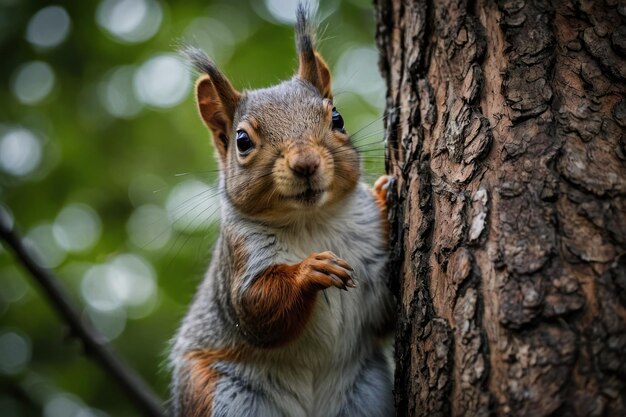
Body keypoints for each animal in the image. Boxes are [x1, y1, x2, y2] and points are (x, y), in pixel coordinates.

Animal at [169, 6, 394, 416]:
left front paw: (384, 196)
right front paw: (311, 269)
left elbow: (386, 311)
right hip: (217, 392)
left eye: (337, 118)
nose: (305, 163)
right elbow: (255, 312)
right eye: (242, 141)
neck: (311, 222)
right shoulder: (240, 260)